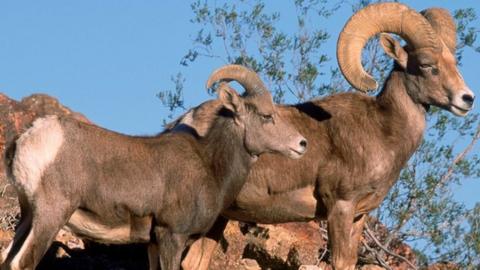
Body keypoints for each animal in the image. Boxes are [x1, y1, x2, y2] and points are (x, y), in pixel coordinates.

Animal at [0, 66, 308, 270]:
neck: (210, 165)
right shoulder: (172, 235)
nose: (302, 144)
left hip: (28, 216)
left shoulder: (152, 242)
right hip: (51, 216)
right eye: (267, 116)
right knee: (21, 264)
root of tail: (31, 135)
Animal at [166, 2, 476, 270]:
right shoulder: (340, 206)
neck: (383, 132)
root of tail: (184, 122)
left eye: (454, 62)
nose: (467, 99)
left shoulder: (359, 216)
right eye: (426, 65)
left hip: (219, 217)